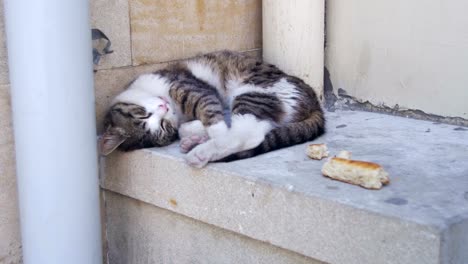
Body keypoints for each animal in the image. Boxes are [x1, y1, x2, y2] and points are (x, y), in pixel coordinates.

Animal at [98, 50, 326, 168]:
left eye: (143, 115)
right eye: (162, 127)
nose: (163, 107)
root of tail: (315, 101)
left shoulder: (189, 87)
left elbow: (210, 113)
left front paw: (210, 132)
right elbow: (197, 122)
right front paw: (194, 132)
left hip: (253, 91)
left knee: (244, 136)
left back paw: (202, 151)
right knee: (253, 131)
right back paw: (196, 142)